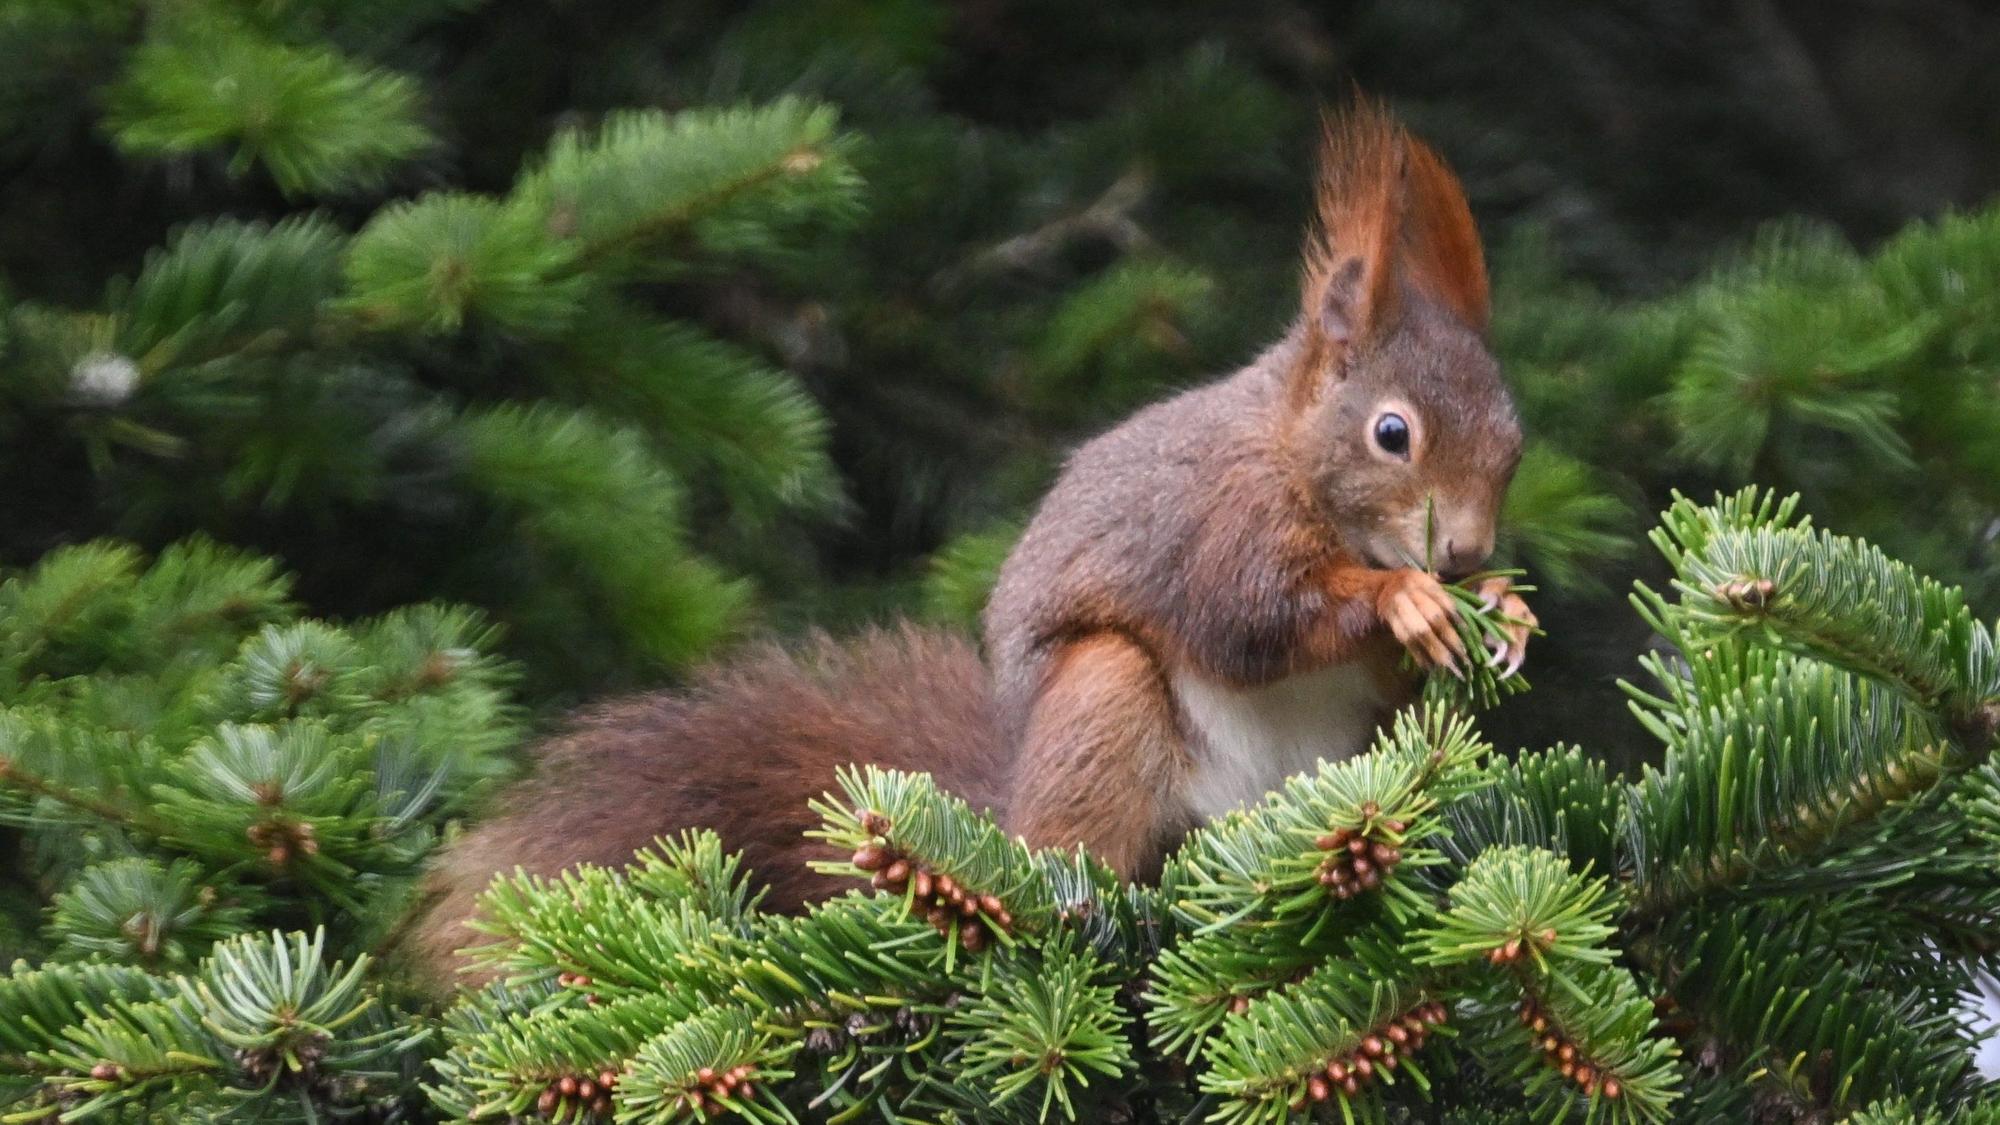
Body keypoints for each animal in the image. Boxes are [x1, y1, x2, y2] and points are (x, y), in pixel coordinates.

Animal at [400, 100, 1531, 985]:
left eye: (1515, 444)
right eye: (1392, 434)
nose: (1465, 553)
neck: (1292, 456)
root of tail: (1006, 806)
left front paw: (1504, 610)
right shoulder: (1214, 523)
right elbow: (1250, 617)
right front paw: (1406, 600)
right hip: (1102, 707)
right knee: (1085, 836)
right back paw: (1079, 903)